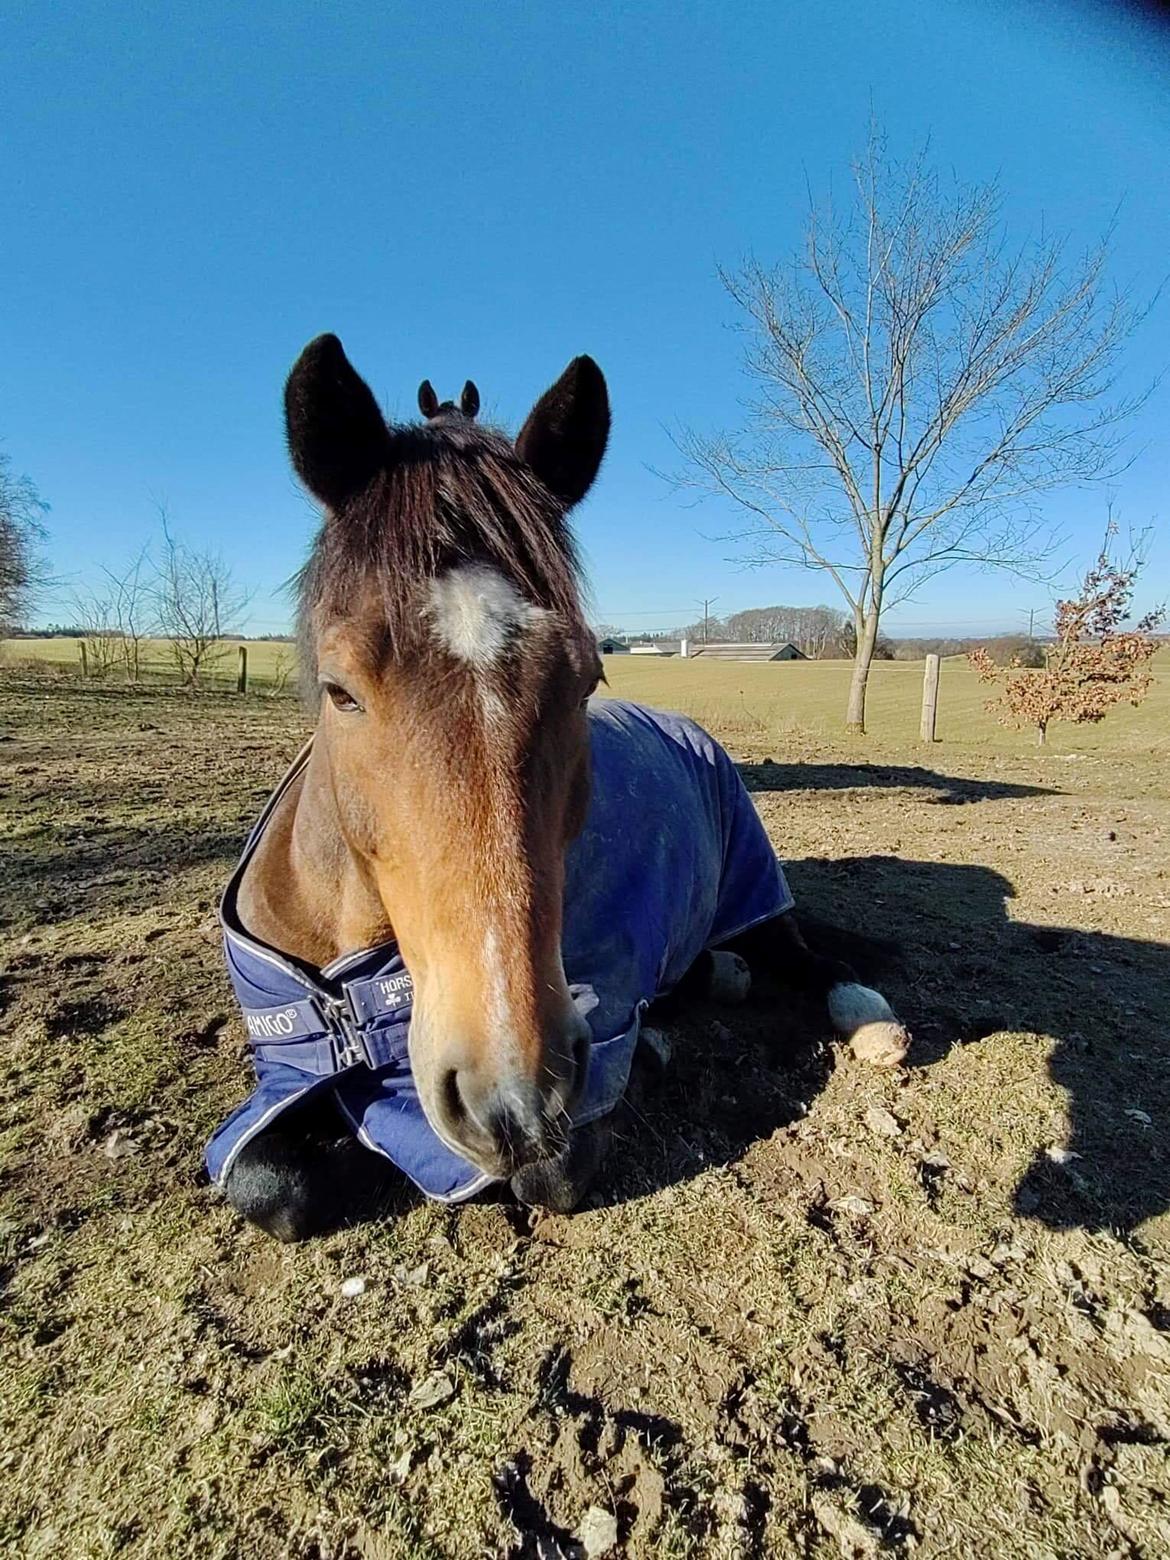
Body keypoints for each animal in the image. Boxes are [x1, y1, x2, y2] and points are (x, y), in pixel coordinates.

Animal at [209, 338, 904, 1241]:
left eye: (584, 681)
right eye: (339, 691)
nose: (510, 1095)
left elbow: (550, 1173)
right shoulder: (284, 1074)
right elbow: (269, 1184)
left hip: (754, 886)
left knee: (802, 954)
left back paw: (861, 1014)